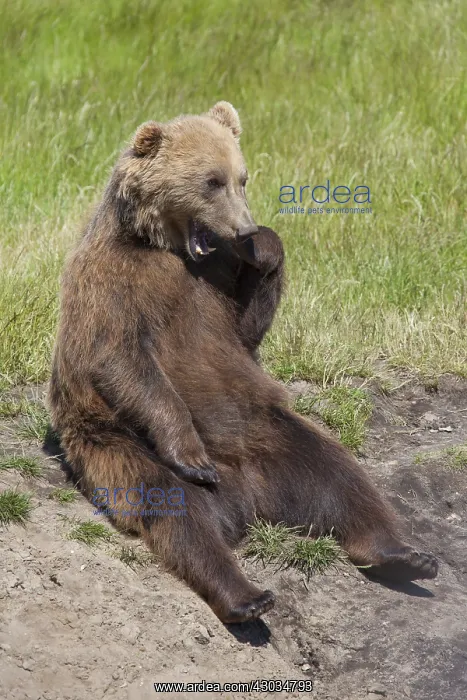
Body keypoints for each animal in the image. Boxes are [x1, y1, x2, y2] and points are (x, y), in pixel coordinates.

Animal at [48, 101, 438, 624]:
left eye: (242, 178)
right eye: (211, 181)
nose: (245, 228)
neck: (165, 248)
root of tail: (248, 500)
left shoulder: (217, 287)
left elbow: (246, 330)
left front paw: (268, 245)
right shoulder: (113, 284)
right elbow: (122, 359)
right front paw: (190, 453)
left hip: (274, 435)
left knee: (342, 475)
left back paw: (403, 553)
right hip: (118, 447)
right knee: (178, 512)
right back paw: (246, 594)